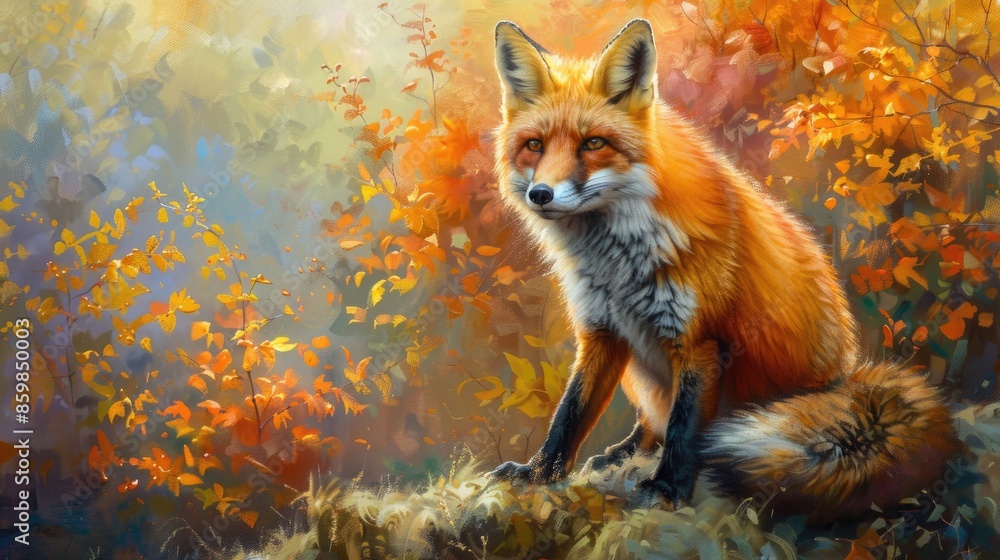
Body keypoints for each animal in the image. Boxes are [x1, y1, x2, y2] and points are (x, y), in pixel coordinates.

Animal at [489, 19, 961, 521]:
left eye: (593, 143)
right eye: (534, 146)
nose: (541, 194)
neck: (617, 264)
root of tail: (847, 378)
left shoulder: (699, 341)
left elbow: (684, 429)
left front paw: (667, 488)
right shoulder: (602, 331)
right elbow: (571, 413)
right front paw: (540, 473)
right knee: (648, 423)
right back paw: (625, 450)